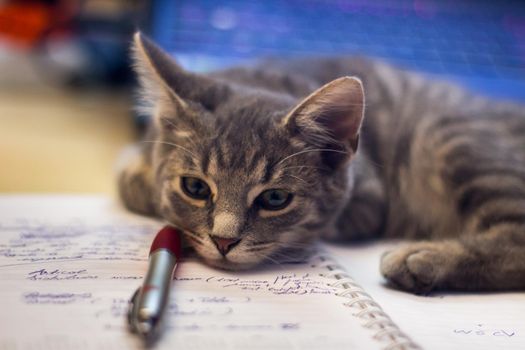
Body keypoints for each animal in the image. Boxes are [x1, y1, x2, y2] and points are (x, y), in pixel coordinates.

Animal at [118, 33, 524, 296]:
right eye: (196, 187)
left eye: (275, 199)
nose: (223, 241)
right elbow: (130, 182)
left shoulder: (370, 200)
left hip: (448, 136)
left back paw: (422, 258)